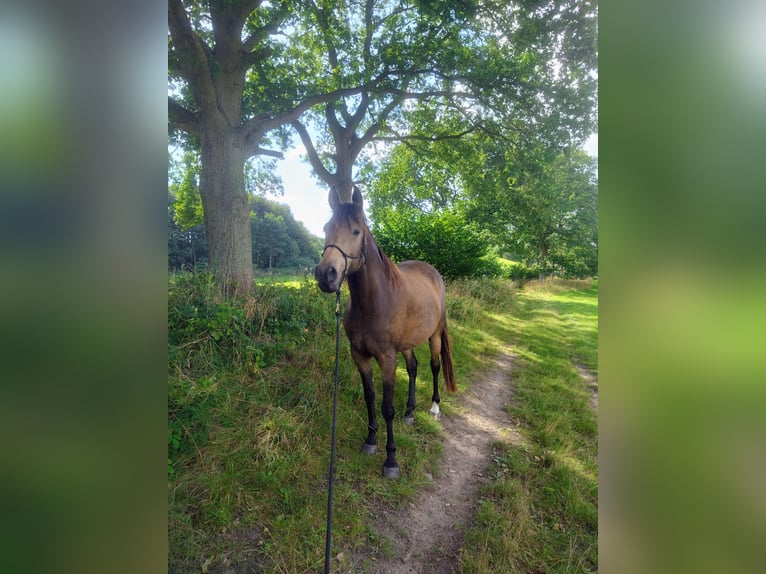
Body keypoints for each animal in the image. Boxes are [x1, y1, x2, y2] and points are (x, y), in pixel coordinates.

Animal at [315, 187, 456, 479]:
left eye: (356, 231)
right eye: (326, 228)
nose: (326, 274)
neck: (373, 303)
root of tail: (433, 272)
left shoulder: (387, 359)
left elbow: (387, 407)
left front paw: (391, 460)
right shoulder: (359, 355)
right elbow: (370, 397)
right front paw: (370, 440)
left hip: (435, 336)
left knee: (434, 367)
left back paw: (434, 407)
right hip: (407, 344)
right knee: (413, 368)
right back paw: (410, 412)